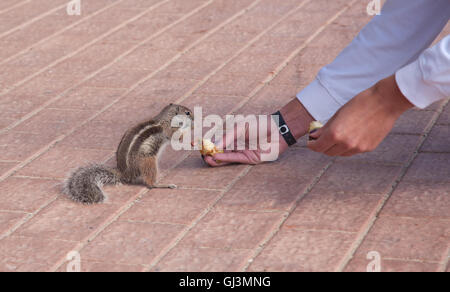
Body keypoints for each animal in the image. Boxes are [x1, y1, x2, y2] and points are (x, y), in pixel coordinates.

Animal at [64, 104, 194, 204]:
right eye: (187, 113)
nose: (193, 119)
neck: (167, 118)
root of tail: (125, 173)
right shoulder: (169, 129)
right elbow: (175, 137)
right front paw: (188, 132)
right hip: (148, 161)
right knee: (150, 183)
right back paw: (164, 184)